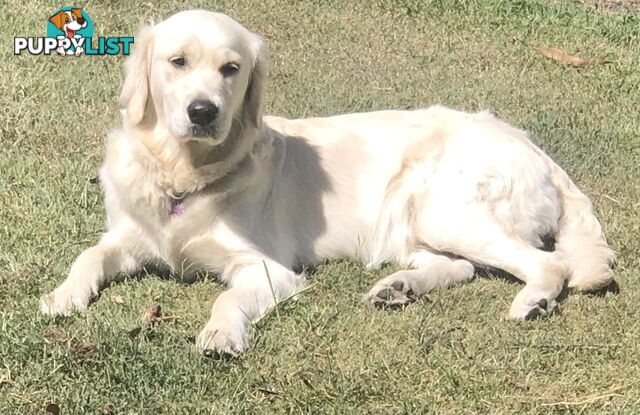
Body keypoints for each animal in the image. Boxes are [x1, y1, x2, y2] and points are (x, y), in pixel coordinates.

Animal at [40, 8, 616, 354]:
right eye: (176, 61)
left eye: (231, 69)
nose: (203, 111)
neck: (183, 174)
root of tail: (532, 145)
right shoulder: (130, 235)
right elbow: (88, 255)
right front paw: (61, 297)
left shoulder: (267, 269)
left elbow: (227, 298)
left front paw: (221, 333)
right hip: (416, 225)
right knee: (461, 268)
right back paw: (397, 289)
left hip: (444, 209)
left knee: (549, 263)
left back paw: (532, 302)